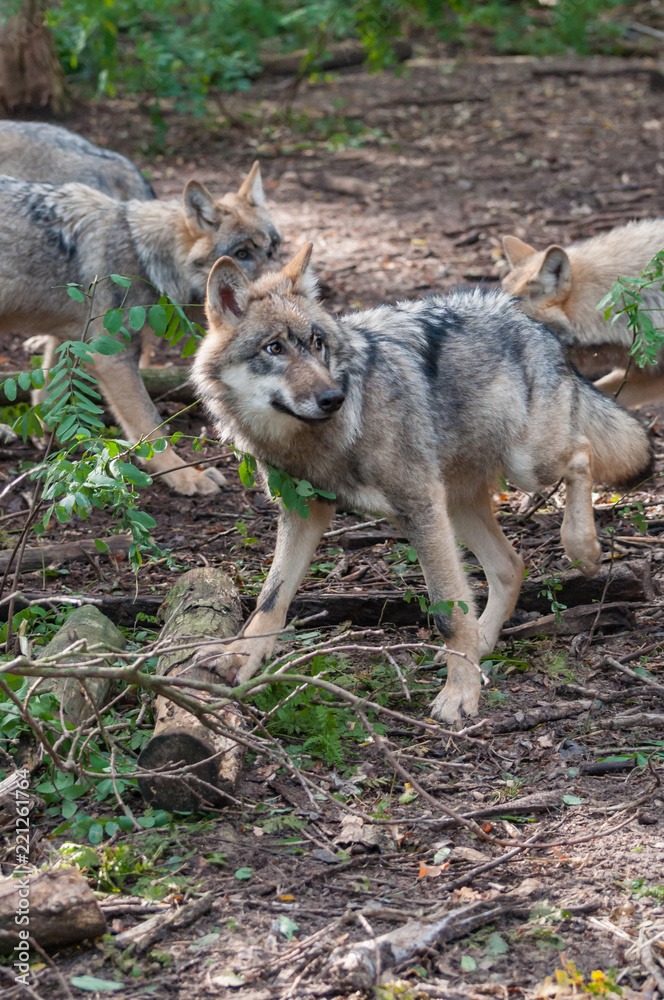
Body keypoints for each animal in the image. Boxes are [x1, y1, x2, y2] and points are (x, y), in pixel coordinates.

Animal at [0, 164, 280, 495]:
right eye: (242, 254)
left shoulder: (69, 339)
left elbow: (46, 394)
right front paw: (187, 476)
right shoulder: (112, 359)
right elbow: (151, 428)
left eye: (273, 249)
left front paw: (49, 438)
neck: (145, 257)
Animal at [191, 244, 652, 723]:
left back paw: (584, 550)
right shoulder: (305, 512)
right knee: (511, 565)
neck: (315, 442)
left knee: (582, 452)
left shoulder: (418, 506)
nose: (333, 397)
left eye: (318, 343)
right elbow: (270, 598)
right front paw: (238, 659)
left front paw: (460, 694)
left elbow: (447, 610)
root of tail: (527, 318)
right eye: (274, 348)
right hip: (459, 504)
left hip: (525, 466)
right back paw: (483, 643)